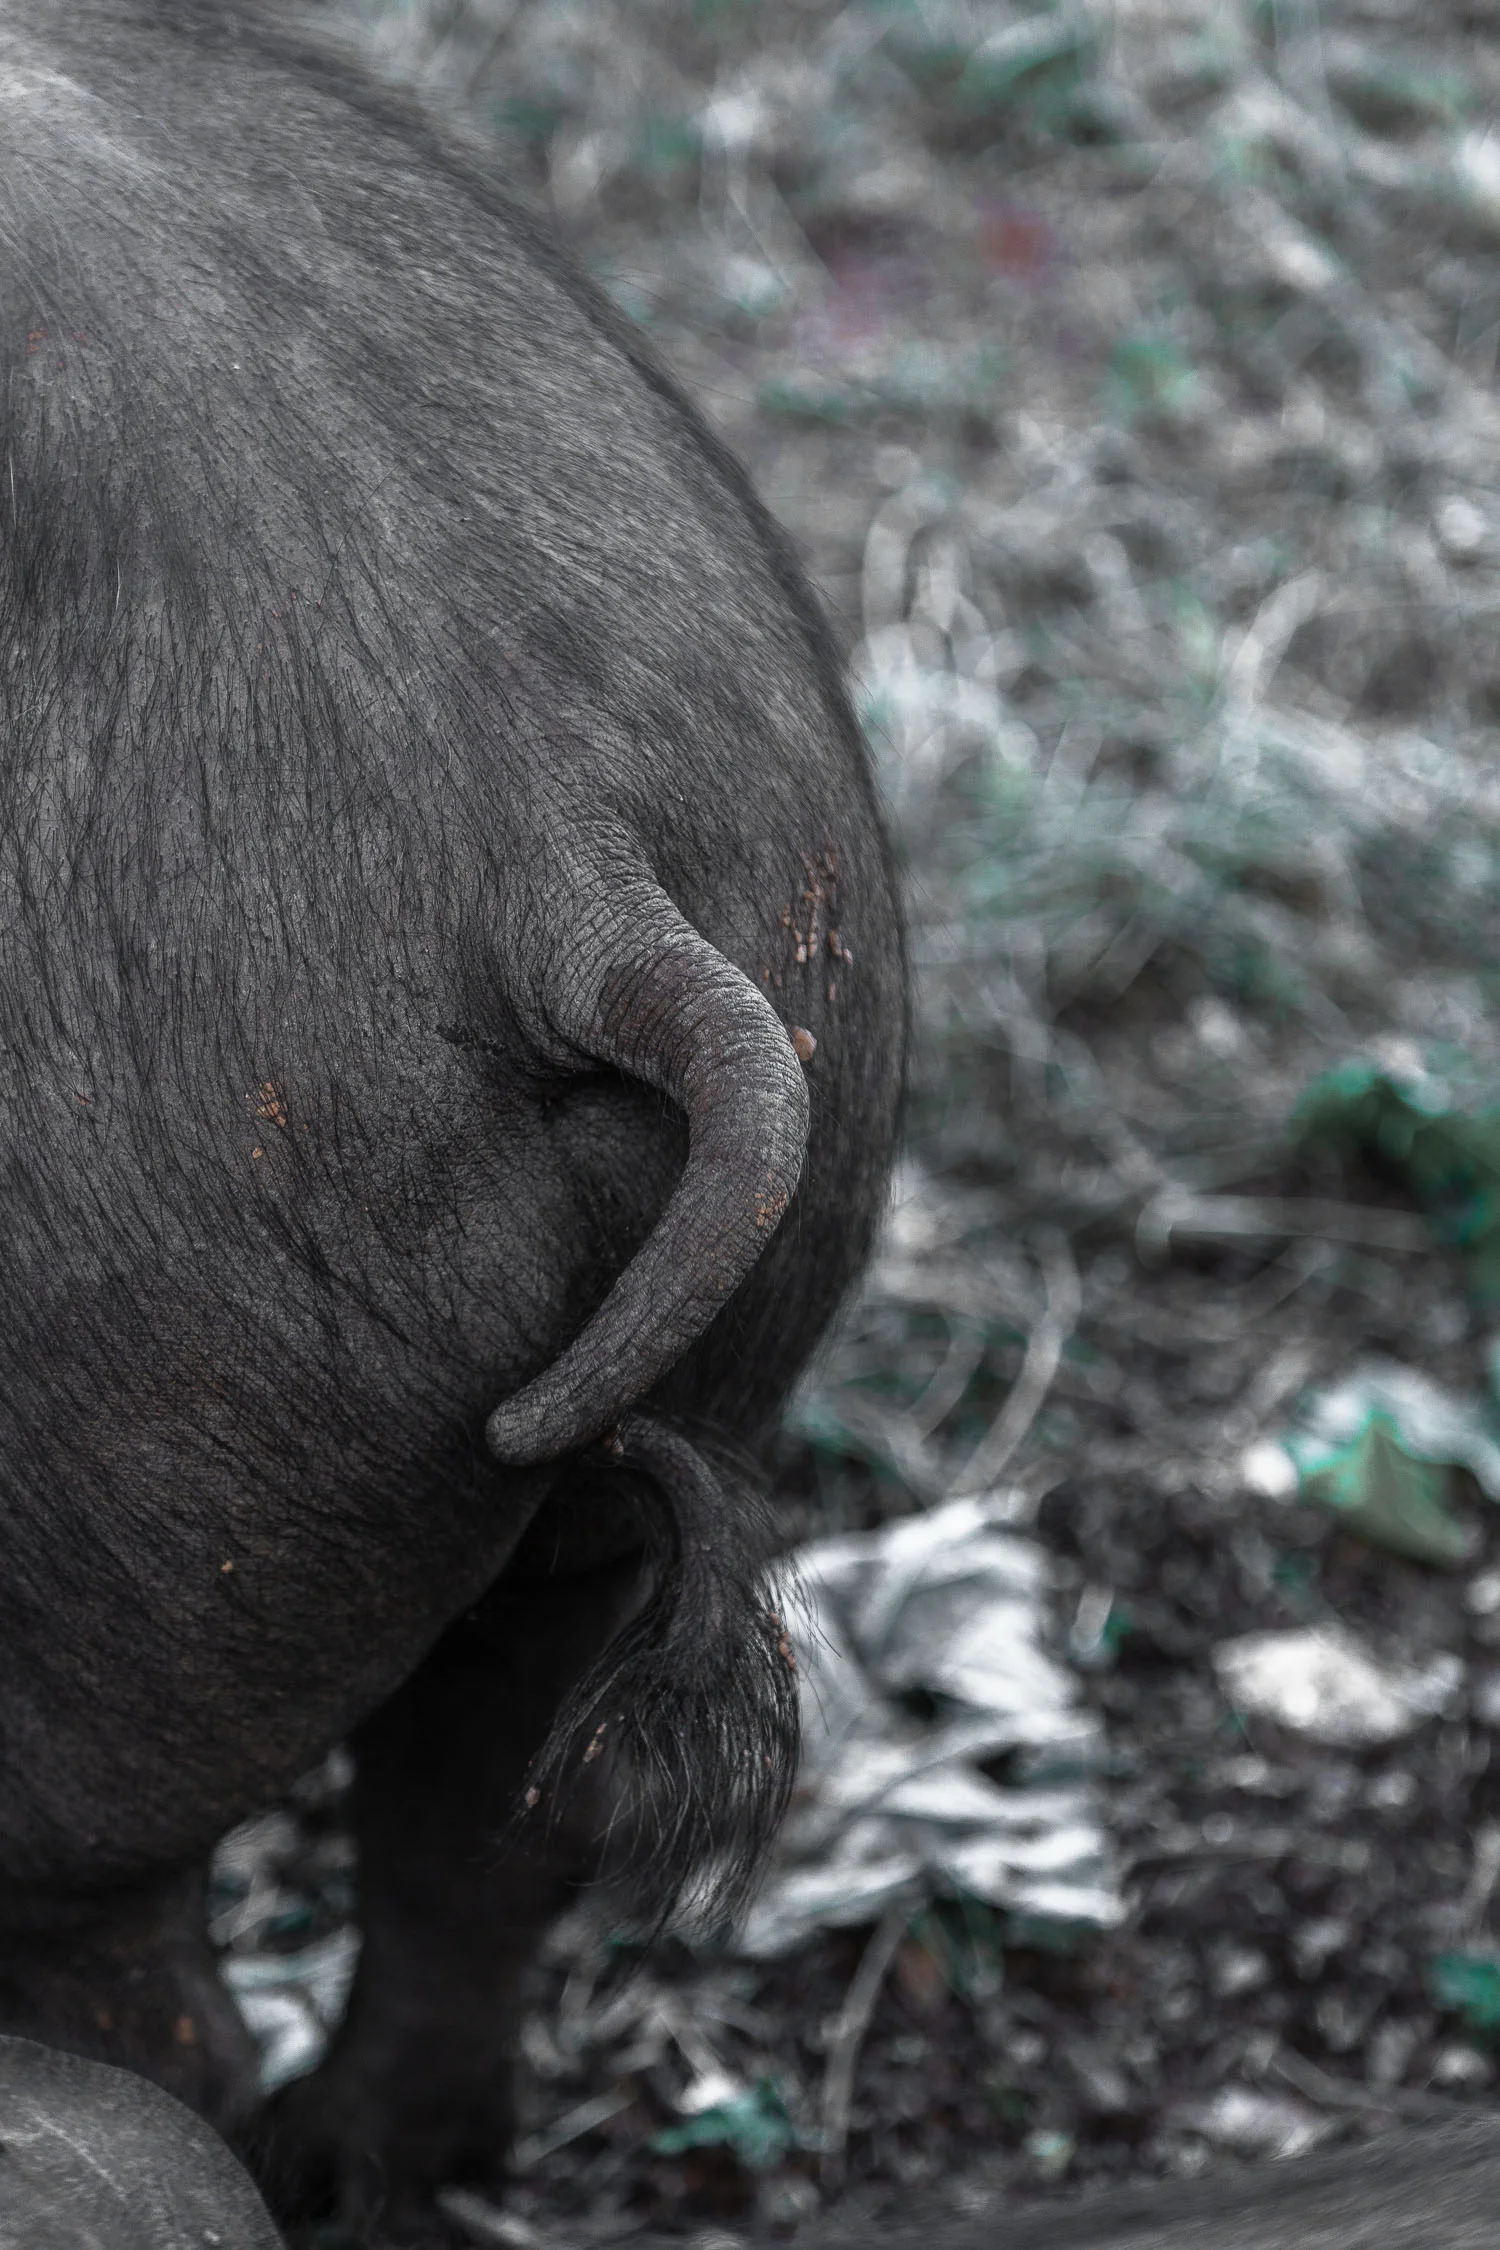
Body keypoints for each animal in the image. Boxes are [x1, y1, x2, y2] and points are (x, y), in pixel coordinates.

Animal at [0, 0, 904, 2235]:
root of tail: (563, 874)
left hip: (98, 1515)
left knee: (152, 2019)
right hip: (702, 1333)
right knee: (497, 1823)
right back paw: (366, 2169)